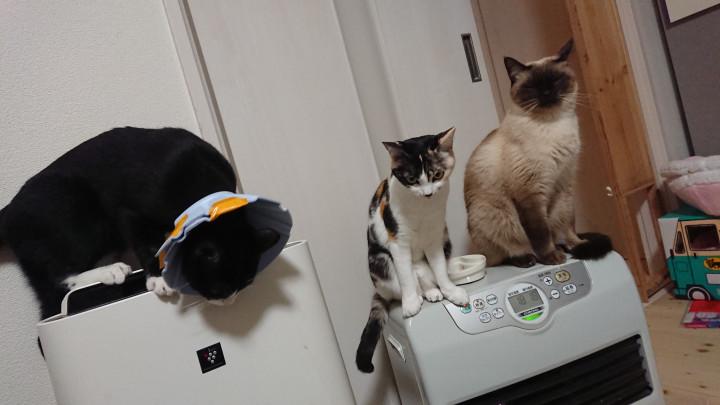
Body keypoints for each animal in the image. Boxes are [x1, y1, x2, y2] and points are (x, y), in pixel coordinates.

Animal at [0, 127, 280, 319]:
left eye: (245, 284)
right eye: (219, 287)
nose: (228, 302)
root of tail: (9, 212)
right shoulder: (129, 211)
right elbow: (145, 241)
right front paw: (159, 278)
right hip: (76, 215)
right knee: (57, 277)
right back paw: (110, 271)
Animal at [356, 128, 469, 373]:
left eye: (437, 174)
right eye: (411, 179)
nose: (427, 194)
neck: (422, 208)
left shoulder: (435, 236)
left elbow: (440, 269)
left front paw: (451, 291)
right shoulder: (397, 241)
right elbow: (406, 277)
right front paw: (410, 304)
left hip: (445, 243)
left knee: (425, 275)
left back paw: (433, 292)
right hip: (380, 260)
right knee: (408, 278)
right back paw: (418, 295)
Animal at [464, 39, 611, 268]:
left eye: (556, 80)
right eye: (533, 86)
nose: (547, 92)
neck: (553, 125)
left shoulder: (564, 183)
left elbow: (568, 225)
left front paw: (577, 245)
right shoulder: (530, 193)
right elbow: (541, 232)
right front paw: (552, 258)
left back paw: (567, 247)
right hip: (491, 214)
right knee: (503, 256)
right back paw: (528, 259)